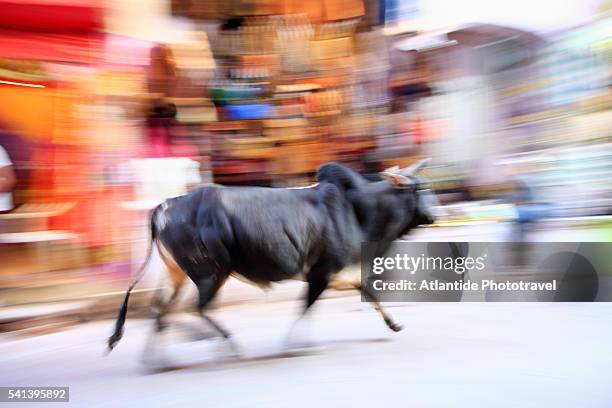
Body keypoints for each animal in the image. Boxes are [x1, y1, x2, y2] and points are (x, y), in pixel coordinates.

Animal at [109, 161, 436, 352]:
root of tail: (165, 206)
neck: (358, 212)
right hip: (211, 275)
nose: (435, 214)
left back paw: (157, 360)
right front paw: (293, 344)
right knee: (197, 308)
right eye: (419, 189)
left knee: (160, 309)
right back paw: (229, 344)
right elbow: (304, 309)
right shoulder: (320, 274)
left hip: (177, 273)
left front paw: (394, 325)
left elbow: (371, 296)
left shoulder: (343, 274)